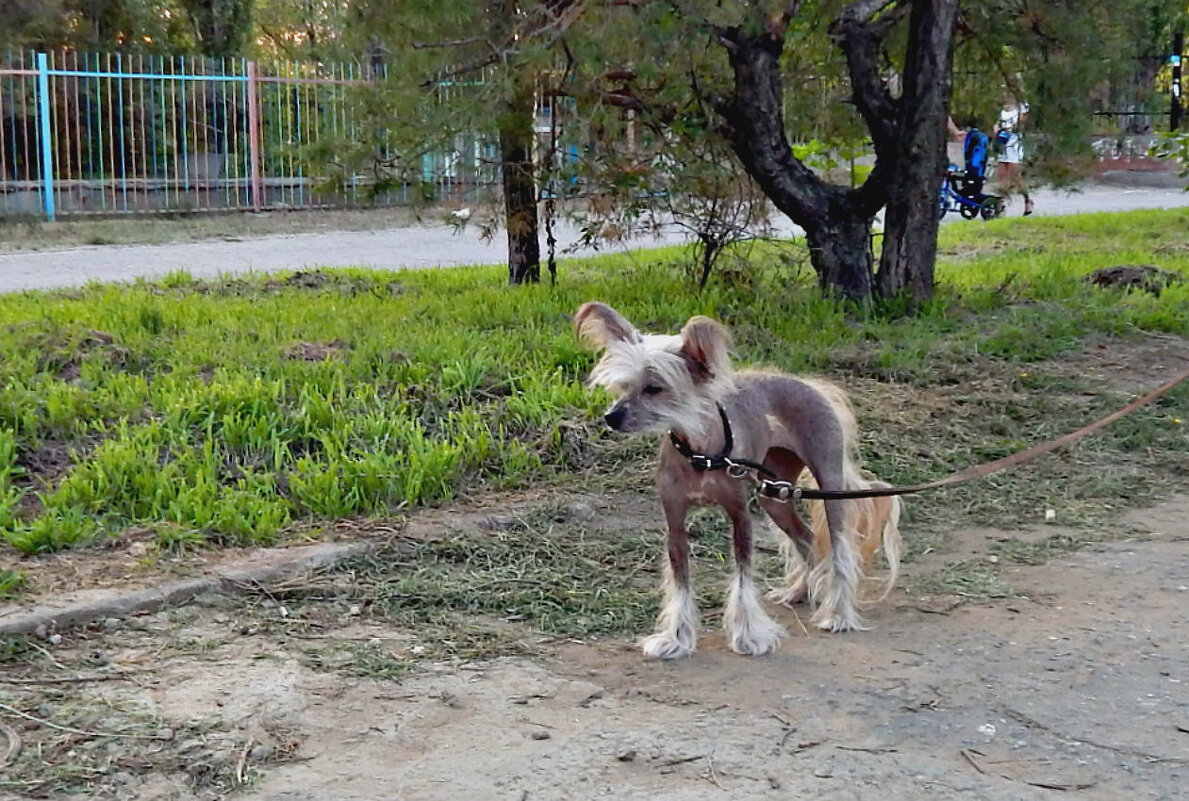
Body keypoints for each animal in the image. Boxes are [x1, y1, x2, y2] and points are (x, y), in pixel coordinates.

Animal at [575, 303, 898, 656]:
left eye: (654, 388)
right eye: (624, 386)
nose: (612, 417)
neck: (701, 455)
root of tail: (808, 383)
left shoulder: (740, 518)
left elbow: (743, 579)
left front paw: (748, 636)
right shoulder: (675, 523)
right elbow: (680, 583)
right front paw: (676, 638)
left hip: (829, 487)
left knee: (838, 550)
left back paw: (838, 614)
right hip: (775, 496)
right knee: (807, 539)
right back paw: (800, 591)